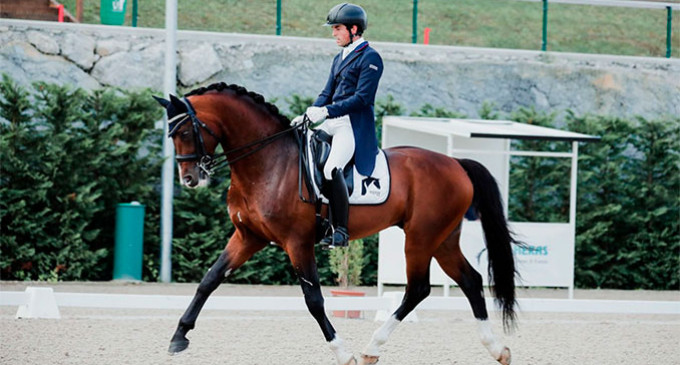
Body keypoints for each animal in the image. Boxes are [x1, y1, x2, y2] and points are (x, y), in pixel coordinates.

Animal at [154, 82, 516, 364]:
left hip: (420, 238)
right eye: (171, 134)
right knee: (470, 281)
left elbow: (314, 299)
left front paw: (343, 352)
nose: (190, 179)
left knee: (418, 289)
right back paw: (497, 349)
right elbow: (209, 280)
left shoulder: (297, 242)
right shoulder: (247, 236)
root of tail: (456, 163)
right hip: (442, 238)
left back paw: (371, 348)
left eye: (185, 131)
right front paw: (178, 336)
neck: (268, 164)